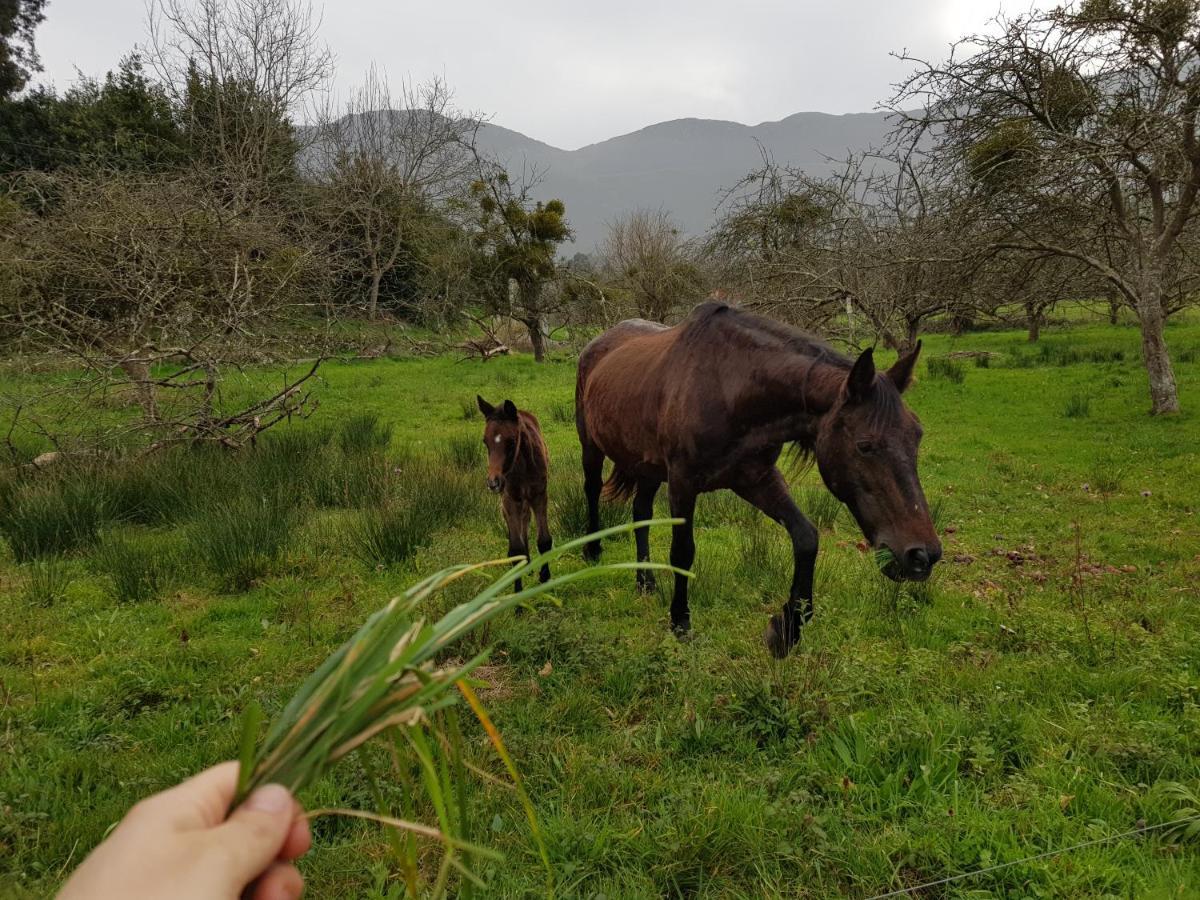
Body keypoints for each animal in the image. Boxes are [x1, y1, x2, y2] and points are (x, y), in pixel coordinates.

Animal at [477, 398, 552, 595]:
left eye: (511, 441)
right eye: (485, 442)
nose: (493, 482)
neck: (522, 466)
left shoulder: (539, 495)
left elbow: (544, 541)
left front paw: (545, 578)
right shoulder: (510, 500)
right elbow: (516, 549)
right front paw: (518, 594)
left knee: (525, 521)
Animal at [576, 300, 940, 657]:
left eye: (918, 436)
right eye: (865, 446)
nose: (923, 555)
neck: (727, 389)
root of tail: (598, 343)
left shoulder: (756, 479)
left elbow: (806, 537)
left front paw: (787, 629)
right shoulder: (682, 484)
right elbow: (683, 553)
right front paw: (680, 624)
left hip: (648, 466)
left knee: (641, 512)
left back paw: (645, 581)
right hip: (592, 446)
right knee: (592, 489)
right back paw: (592, 551)